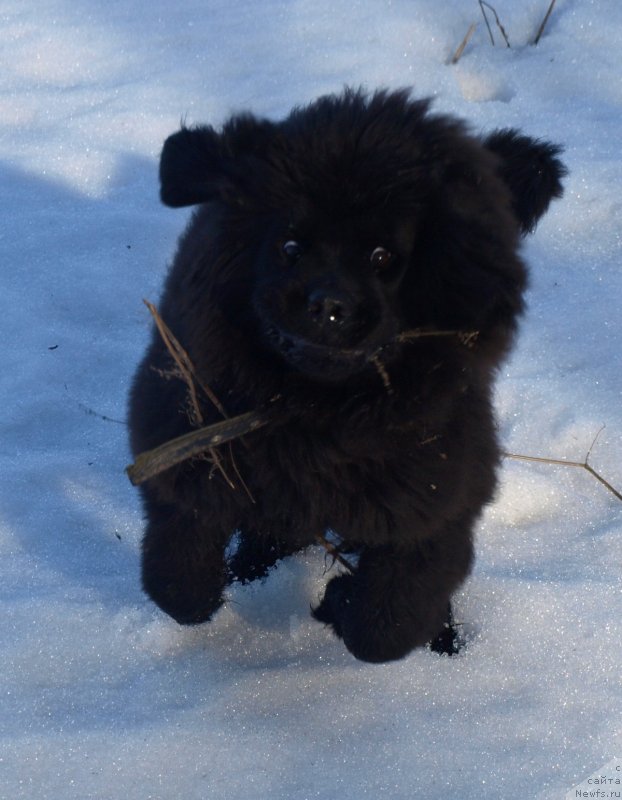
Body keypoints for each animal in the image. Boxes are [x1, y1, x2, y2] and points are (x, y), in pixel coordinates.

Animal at [129, 89, 568, 664]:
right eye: (289, 247)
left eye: (382, 256)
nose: (328, 306)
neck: (317, 413)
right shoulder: (183, 447)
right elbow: (180, 586)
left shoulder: (434, 505)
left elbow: (387, 627)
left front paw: (338, 600)